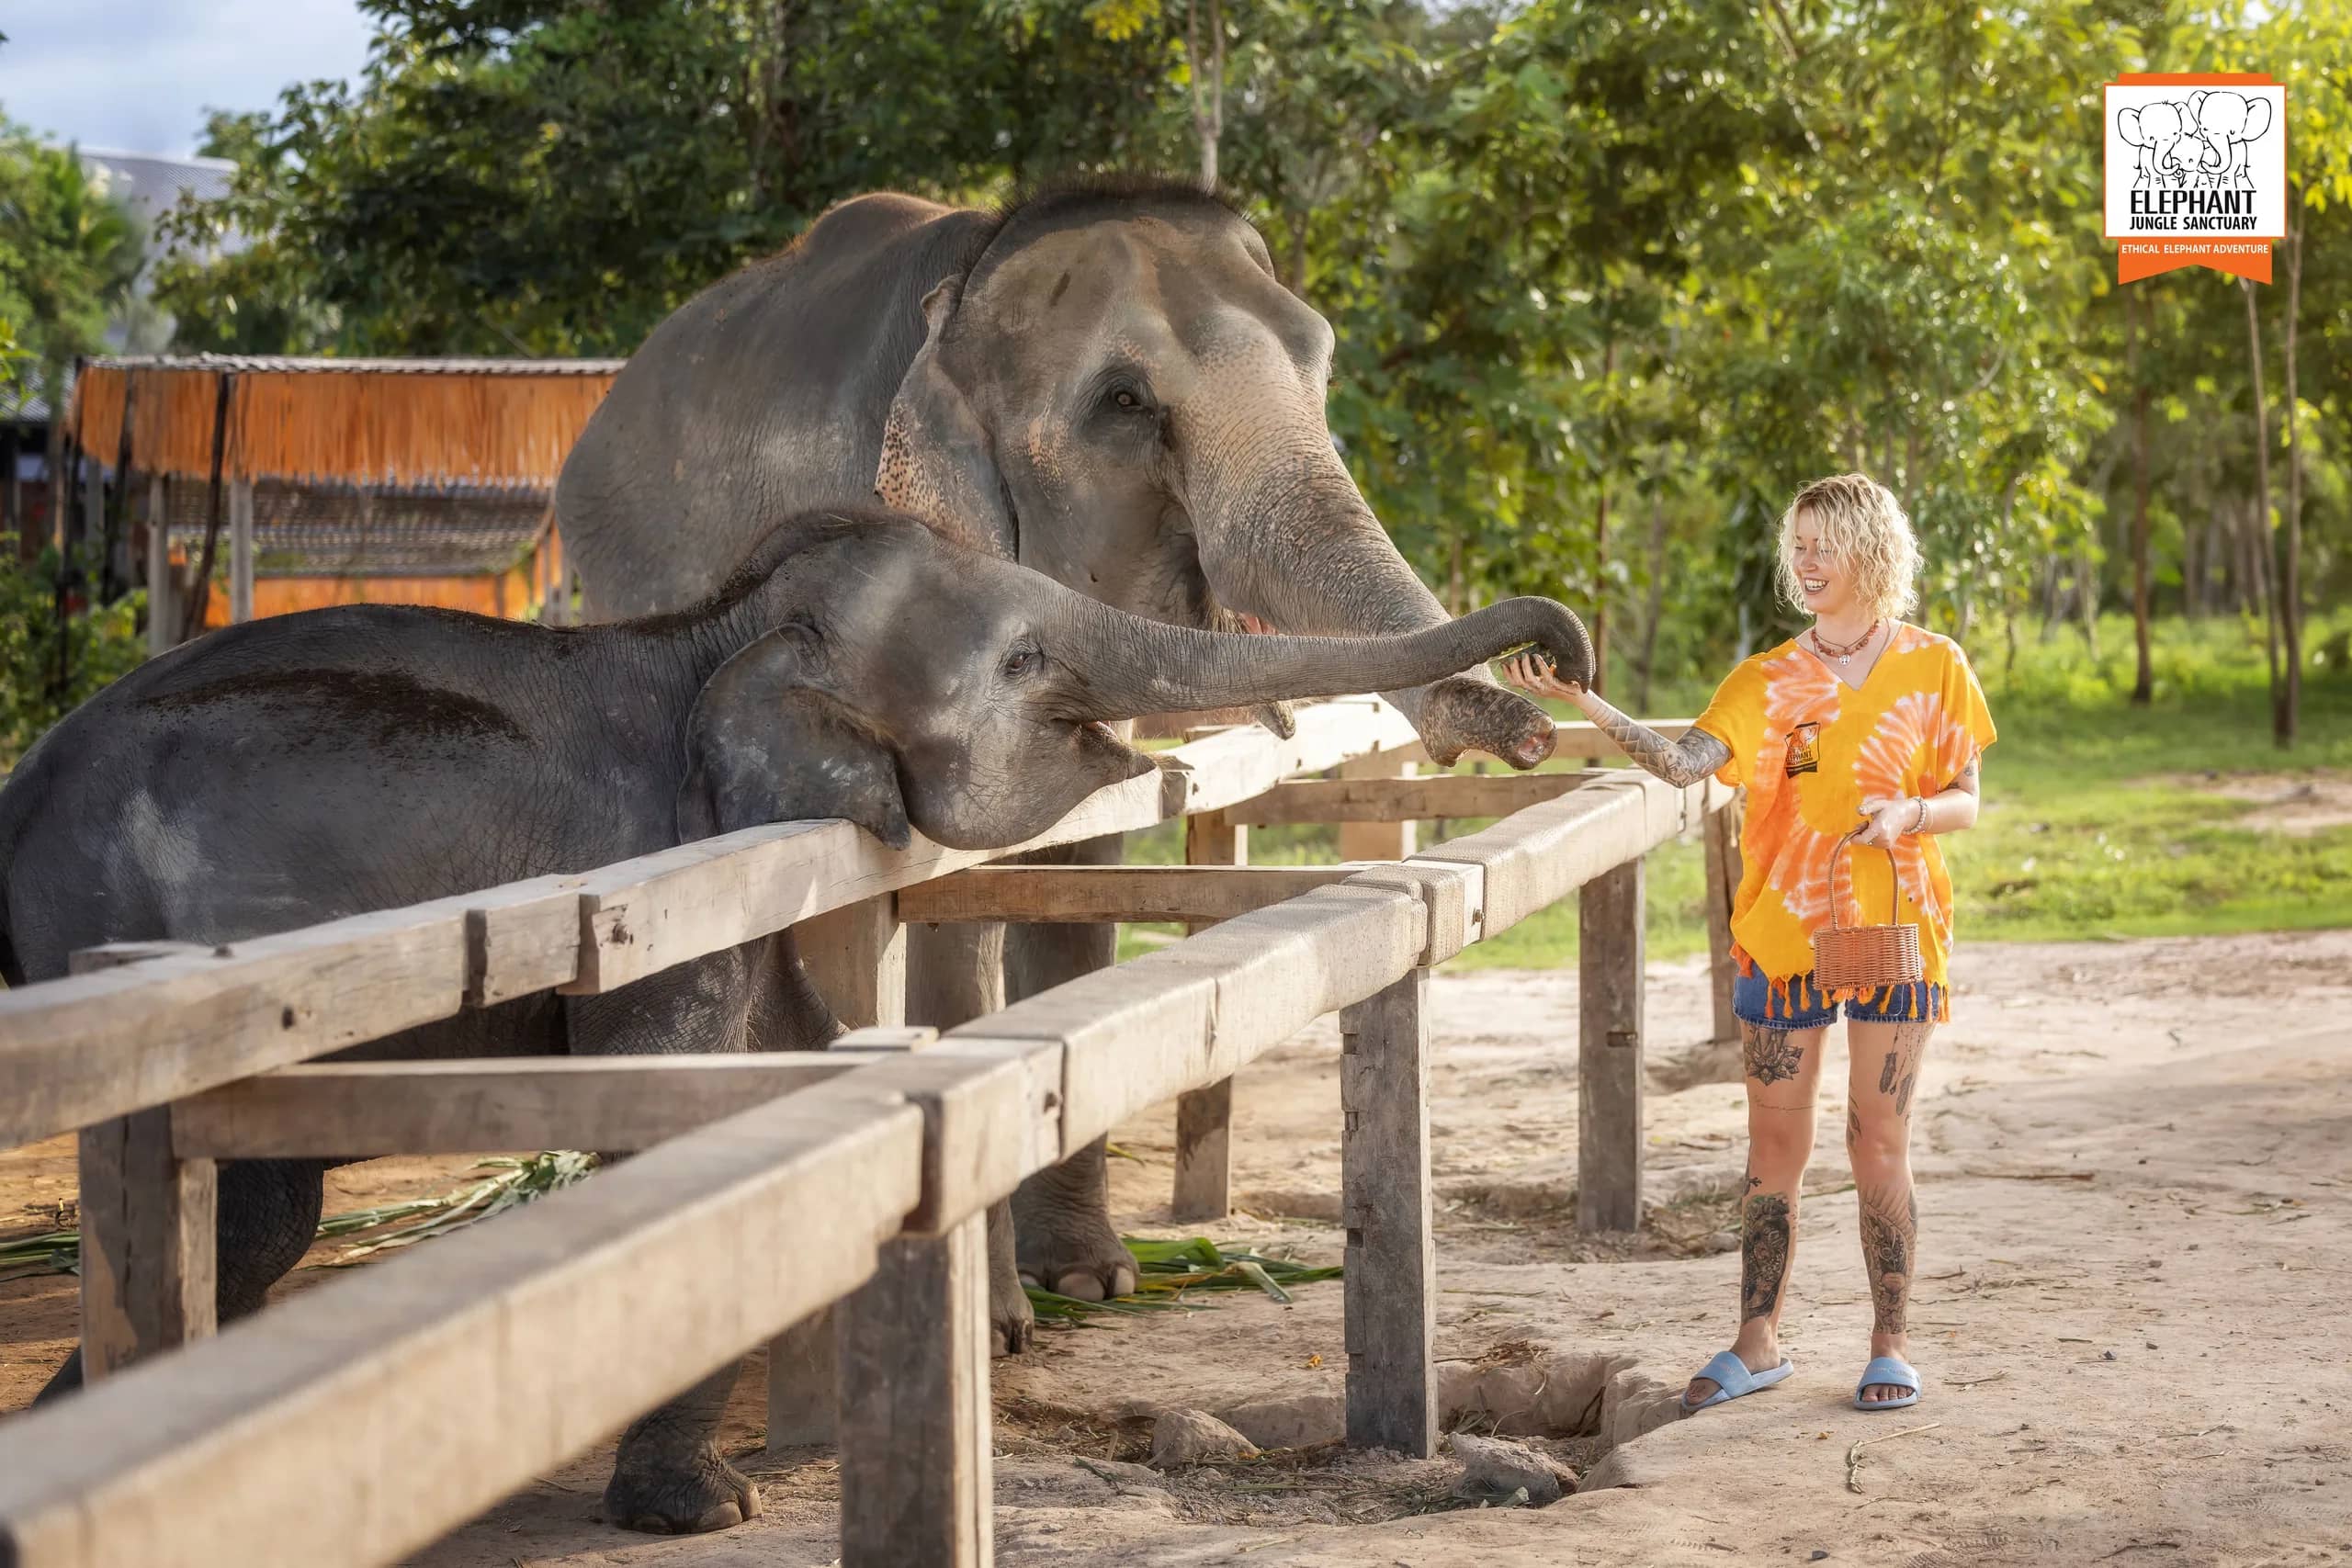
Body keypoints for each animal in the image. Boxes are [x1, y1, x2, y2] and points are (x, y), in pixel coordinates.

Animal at [0, 503, 1594, 1535]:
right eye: (1023, 660)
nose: (1558, 664)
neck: (710, 632)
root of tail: (17, 797)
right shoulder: (660, 885)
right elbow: (684, 1121)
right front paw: (708, 1508)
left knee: (259, 1210)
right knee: (257, 1204)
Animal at [554, 174, 1565, 1329]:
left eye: (1319, 360)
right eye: (1123, 404)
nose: (1542, 701)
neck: (969, 277)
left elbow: (1080, 879)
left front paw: (1091, 1278)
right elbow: (951, 917)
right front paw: (998, 1323)